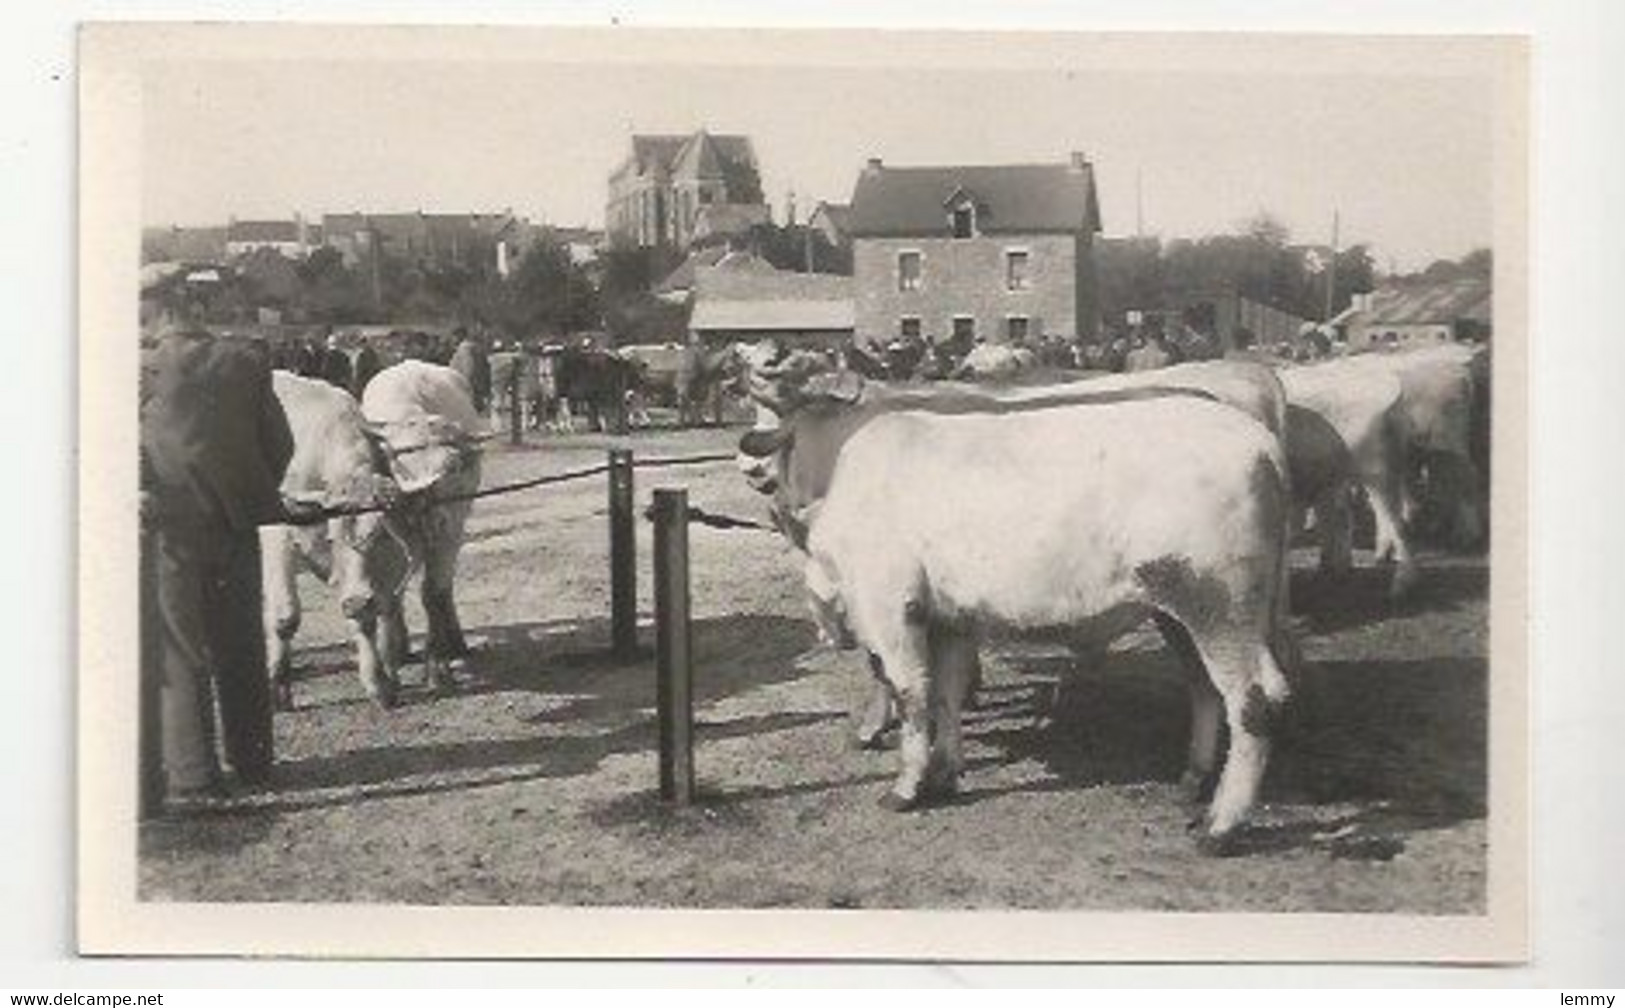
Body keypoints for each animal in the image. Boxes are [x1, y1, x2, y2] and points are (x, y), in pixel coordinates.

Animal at [799, 393, 1293, 851]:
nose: (824, 635)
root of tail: (1261, 443)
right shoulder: (951, 619)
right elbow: (946, 693)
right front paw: (945, 772)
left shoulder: (890, 607)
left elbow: (913, 695)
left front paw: (906, 789)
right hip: (1180, 612)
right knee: (1205, 688)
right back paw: (1192, 782)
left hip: (1218, 603)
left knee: (1253, 702)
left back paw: (1221, 827)